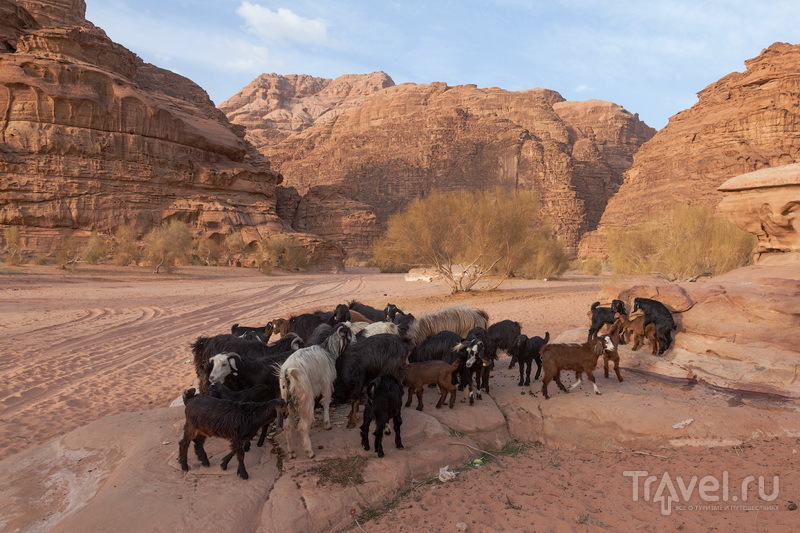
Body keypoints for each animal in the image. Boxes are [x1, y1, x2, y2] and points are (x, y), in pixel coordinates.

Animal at [279, 323, 355, 459]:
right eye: (348, 332)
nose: (356, 340)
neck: (328, 351)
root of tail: (288, 372)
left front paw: (313, 422)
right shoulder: (326, 384)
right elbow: (325, 402)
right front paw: (327, 424)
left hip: (287, 400)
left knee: (287, 426)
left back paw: (291, 452)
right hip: (304, 396)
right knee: (302, 427)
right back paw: (309, 451)